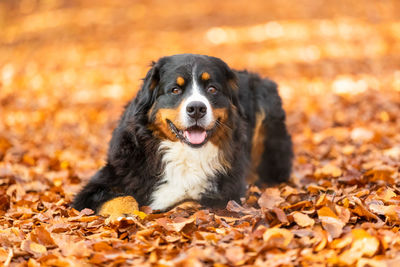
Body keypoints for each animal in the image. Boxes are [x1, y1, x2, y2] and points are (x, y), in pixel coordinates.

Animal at [72, 54, 292, 218]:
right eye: (175, 90)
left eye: (212, 89)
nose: (196, 109)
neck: (186, 153)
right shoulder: (99, 184)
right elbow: (123, 198)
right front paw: (125, 215)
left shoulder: (227, 192)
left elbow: (190, 200)